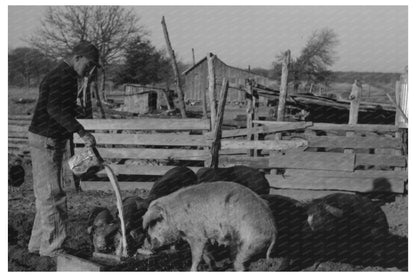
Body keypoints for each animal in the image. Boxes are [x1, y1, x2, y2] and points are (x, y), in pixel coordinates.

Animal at [142, 180, 276, 270]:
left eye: (153, 222)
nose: (146, 242)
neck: (174, 216)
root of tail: (274, 230)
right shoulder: (204, 236)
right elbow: (206, 254)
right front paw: (212, 267)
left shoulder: (196, 235)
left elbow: (196, 256)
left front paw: (191, 270)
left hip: (250, 242)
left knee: (240, 263)